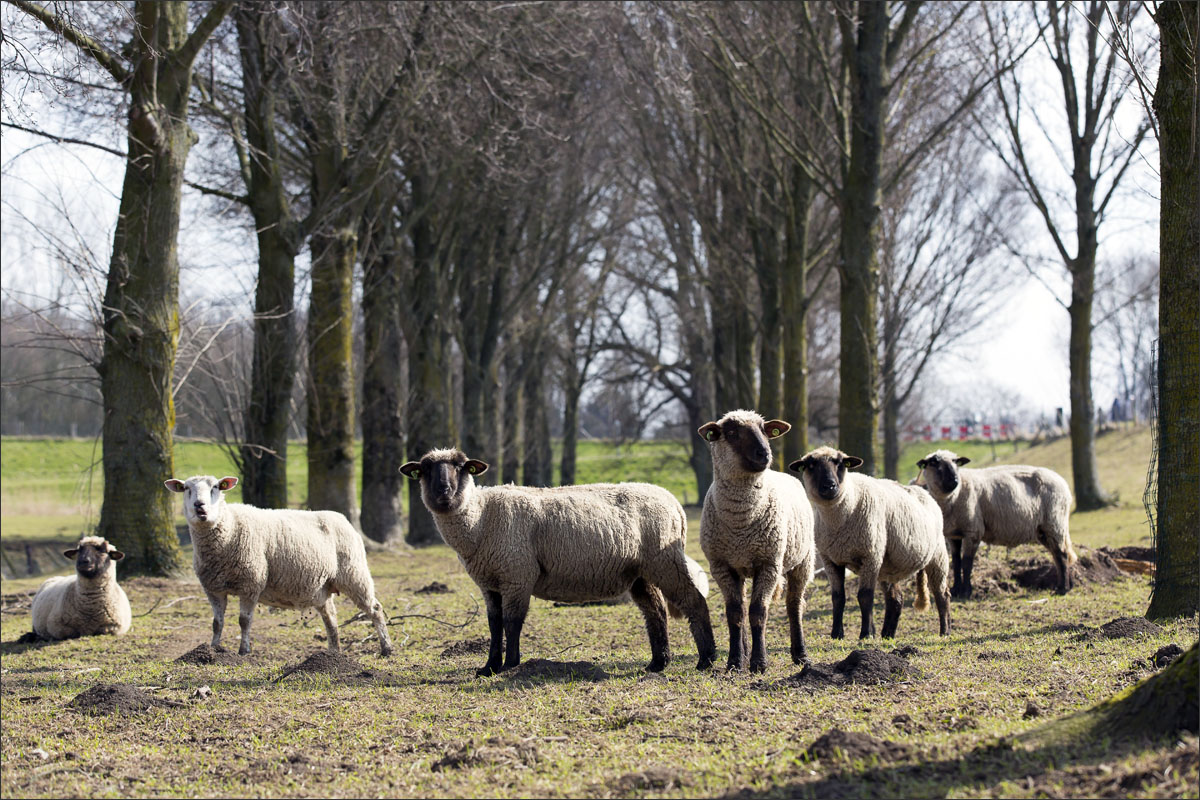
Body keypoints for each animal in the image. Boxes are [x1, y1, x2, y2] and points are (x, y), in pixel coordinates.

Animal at [164, 474, 393, 657]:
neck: (229, 528)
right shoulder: (213, 588)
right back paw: (333, 652)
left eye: (216, 487)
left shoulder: (251, 583)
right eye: (187, 488)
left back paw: (387, 648)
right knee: (330, 616)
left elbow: (244, 620)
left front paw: (244, 651)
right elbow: (216, 623)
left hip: (354, 573)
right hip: (322, 586)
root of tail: (344, 519)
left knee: (375, 609)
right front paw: (212, 649)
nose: (199, 506)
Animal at [398, 448, 710, 681]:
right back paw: (658, 663)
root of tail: (673, 502)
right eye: (424, 470)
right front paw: (488, 668)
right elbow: (494, 624)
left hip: (664, 560)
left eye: (461, 467)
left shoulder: (517, 575)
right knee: (656, 611)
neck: (481, 517)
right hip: (639, 573)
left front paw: (510, 665)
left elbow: (512, 622)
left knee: (694, 601)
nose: (444, 491)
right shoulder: (489, 583)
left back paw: (706, 660)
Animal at [696, 410, 816, 671]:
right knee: (741, 606)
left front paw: (759, 663)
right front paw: (734, 661)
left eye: (764, 430)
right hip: (740, 568)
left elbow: (758, 612)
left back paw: (800, 655)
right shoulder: (721, 566)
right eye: (731, 432)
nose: (765, 454)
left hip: (803, 561)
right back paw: (743, 654)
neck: (740, 524)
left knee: (794, 606)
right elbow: (734, 613)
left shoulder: (769, 564)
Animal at [792, 448, 950, 642]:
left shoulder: (870, 556)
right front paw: (837, 634)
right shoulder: (831, 560)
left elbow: (865, 596)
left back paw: (944, 631)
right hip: (888, 566)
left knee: (942, 595)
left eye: (840, 463)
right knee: (896, 599)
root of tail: (923, 491)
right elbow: (838, 597)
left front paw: (866, 634)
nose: (829, 486)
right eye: (811, 465)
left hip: (937, 556)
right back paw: (887, 635)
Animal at [916, 448, 1080, 597]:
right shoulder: (953, 535)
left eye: (956, 462)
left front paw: (966, 592)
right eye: (933, 462)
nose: (954, 481)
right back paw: (1061, 586)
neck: (954, 496)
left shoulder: (973, 531)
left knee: (1062, 554)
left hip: (1055, 522)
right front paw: (956, 589)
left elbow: (967, 563)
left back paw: (1063, 589)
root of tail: (1062, 482)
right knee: (1056, 554)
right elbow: (956, 562)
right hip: (1043, 529)